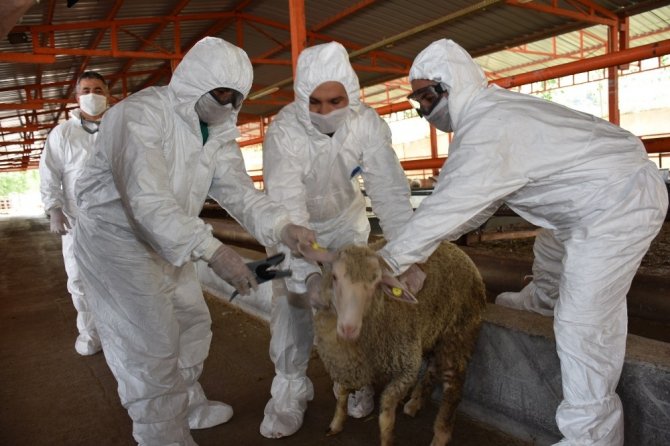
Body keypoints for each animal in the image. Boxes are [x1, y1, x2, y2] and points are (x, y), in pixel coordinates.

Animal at [310, 240, 488, 446]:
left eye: (377, 283)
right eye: (335, 277)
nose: (349, 328)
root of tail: (460, 252)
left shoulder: (406, 368)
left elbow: (386, 413)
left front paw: (387, 439)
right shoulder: (346, 363)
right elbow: (341, 394)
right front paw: (336, 424)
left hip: (459, 335)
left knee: (454, 386)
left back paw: (441, 435)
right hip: (434, 332)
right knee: (433, 367)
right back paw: (415, 403)